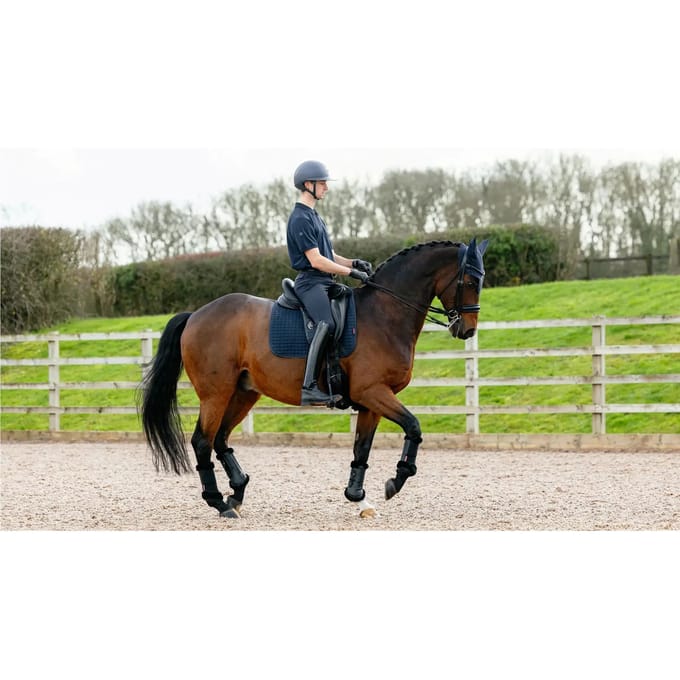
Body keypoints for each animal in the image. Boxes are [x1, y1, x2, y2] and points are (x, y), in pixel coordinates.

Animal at [139, 238, 489, 519]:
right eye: (471, 279)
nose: (467, 330)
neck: (384, 315)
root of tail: (196, 315)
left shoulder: (371, 403)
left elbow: (361, 450)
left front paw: (359, 500)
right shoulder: (373, 392)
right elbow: (414, 427)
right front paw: (396, 480)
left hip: (243, 392)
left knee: (221, 439)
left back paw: (236, 493)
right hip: (216, 393)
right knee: (202, 441)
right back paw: (219, 503)